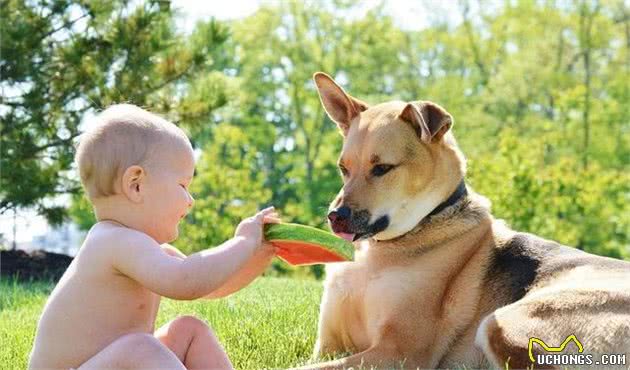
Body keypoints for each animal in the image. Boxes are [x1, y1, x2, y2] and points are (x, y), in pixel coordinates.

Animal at [302, 72, 630, 370]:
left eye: (382, 168)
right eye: (343, 169)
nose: (335, 217)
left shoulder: (398, 352)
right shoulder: (326, 347)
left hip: (506, 323)